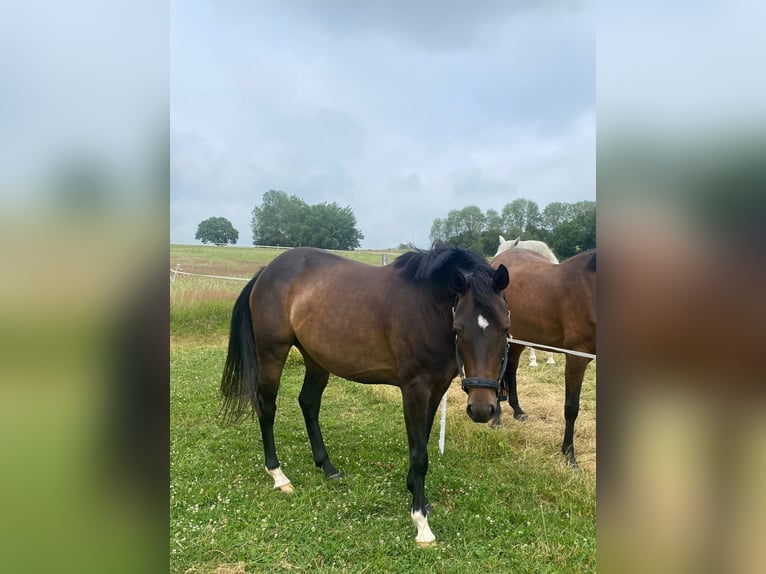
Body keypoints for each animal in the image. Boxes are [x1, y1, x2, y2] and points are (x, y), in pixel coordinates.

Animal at [220, 246, 511, 545]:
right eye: (459, 328)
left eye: (505, 328)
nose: (482, 409)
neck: (427, 307)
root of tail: (266, 272)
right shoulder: (414, 390)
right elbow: (419, 454)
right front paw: (421, 522)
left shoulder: (437, 388)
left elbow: (423, 441)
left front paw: (416, 493)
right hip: (272, 354)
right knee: (267, 408)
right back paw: (278, 475)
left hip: (316, 359)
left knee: (309, 404)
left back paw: (327, 467)